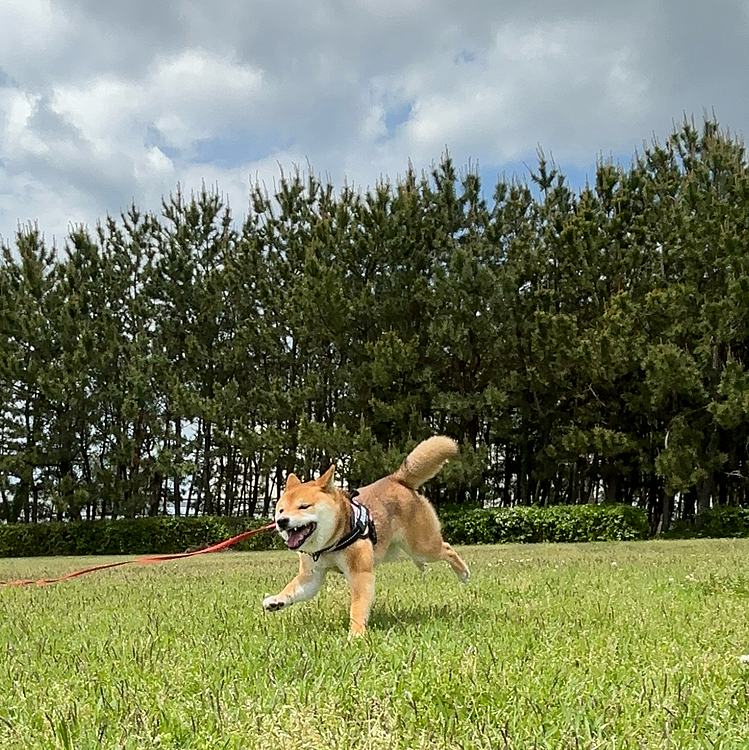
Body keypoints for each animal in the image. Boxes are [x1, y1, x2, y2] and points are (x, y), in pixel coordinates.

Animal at [260, 438, 464, 636]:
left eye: (303, 506)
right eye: (281, 510)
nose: (281, 521)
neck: (332, 542)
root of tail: (397, 479)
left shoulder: (360, 574)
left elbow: (357, 607)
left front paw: (356, 633)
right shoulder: (311, 575)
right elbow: (293, 588)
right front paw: (276, 600)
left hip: (422, 546)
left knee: (446, 548)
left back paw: (463, 574)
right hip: (391, 548)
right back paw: (422, 566)